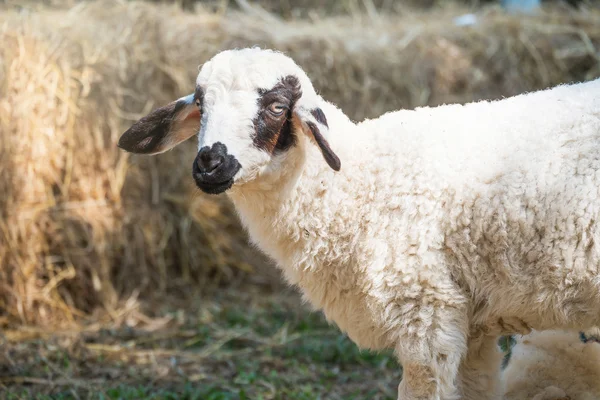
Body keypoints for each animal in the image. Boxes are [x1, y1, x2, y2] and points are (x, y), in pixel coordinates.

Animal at [119, 47, 600, 400]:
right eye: (201, 106)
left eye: (276, 106)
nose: (209, 164)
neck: (358, 182)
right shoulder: (472, 324)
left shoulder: (426, 311)